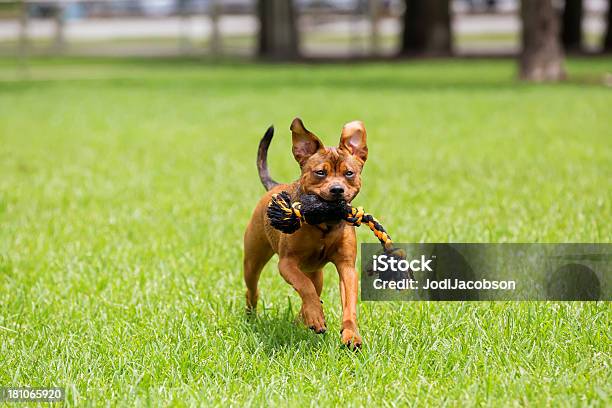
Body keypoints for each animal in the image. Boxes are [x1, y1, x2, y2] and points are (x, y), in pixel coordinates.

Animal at [244, 117, 368, 348]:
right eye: (320, 172)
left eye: (349, 173)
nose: (337, 190)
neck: (324, 223)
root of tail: (274, 187)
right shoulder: (286, 264)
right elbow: (304, 286)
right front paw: (316, 317)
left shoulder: (347, 267)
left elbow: (349, 304)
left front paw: (351, 334)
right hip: (252, 261)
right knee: (253, 289)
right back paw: (253, 315)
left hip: (316, 273)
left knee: (314, 287)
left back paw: (303, 318)